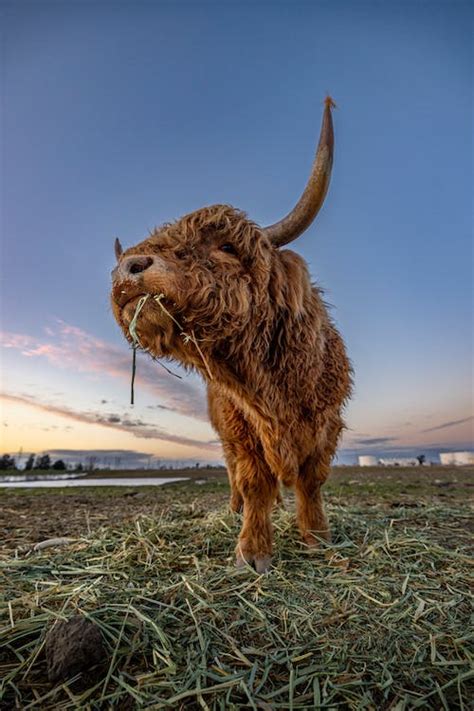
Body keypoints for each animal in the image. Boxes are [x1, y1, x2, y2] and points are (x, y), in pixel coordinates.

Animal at [109, 96, 350, 572]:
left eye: (225, 247)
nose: (128, 269)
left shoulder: (327, 423)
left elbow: (312, 480)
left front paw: (317, 537)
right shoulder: (241, 432)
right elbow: (254, 481)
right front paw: (252, 552)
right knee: (234, 475)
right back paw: (236, 508)